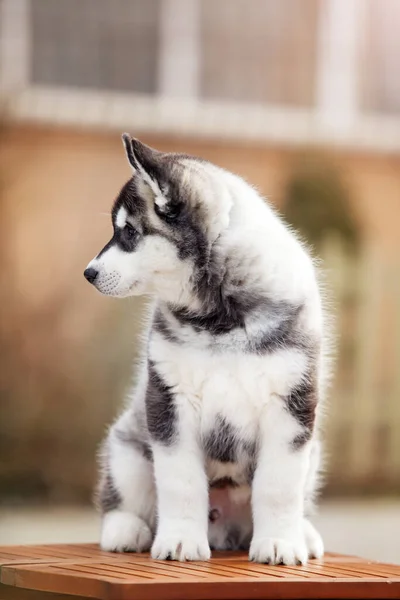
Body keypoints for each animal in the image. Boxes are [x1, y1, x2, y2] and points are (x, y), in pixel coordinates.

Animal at [84, 134, 328, 564]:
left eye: (128, 232)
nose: (88, 273)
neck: (219, 318)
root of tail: (226, 530)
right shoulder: (170, 403)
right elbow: (180, 482)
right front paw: (181, 539)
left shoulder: (291, 405)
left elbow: (278, 486)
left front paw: (279, 542)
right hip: (127, 449)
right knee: (124, 497)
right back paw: (125, 529)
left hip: (313, 453)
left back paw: (303, 532)